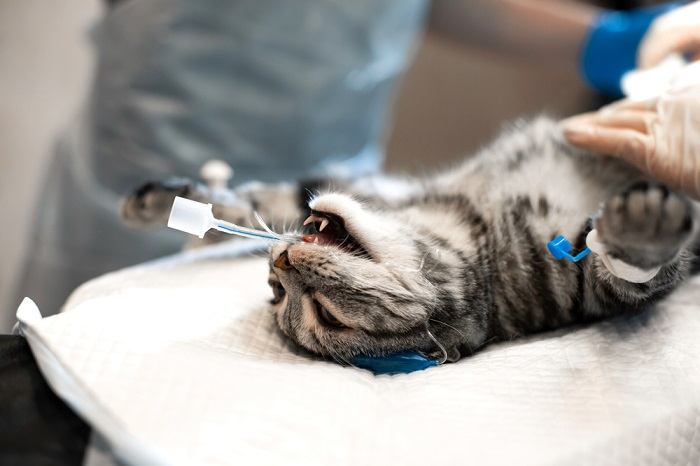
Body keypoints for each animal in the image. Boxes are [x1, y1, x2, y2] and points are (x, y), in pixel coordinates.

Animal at [123, 117, 696, 364]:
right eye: (325, 316)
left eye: (274, 289)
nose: (282, 259)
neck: (473, 219)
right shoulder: (591, 292)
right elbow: (630, 276)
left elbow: (264, 197)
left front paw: (163, 199)